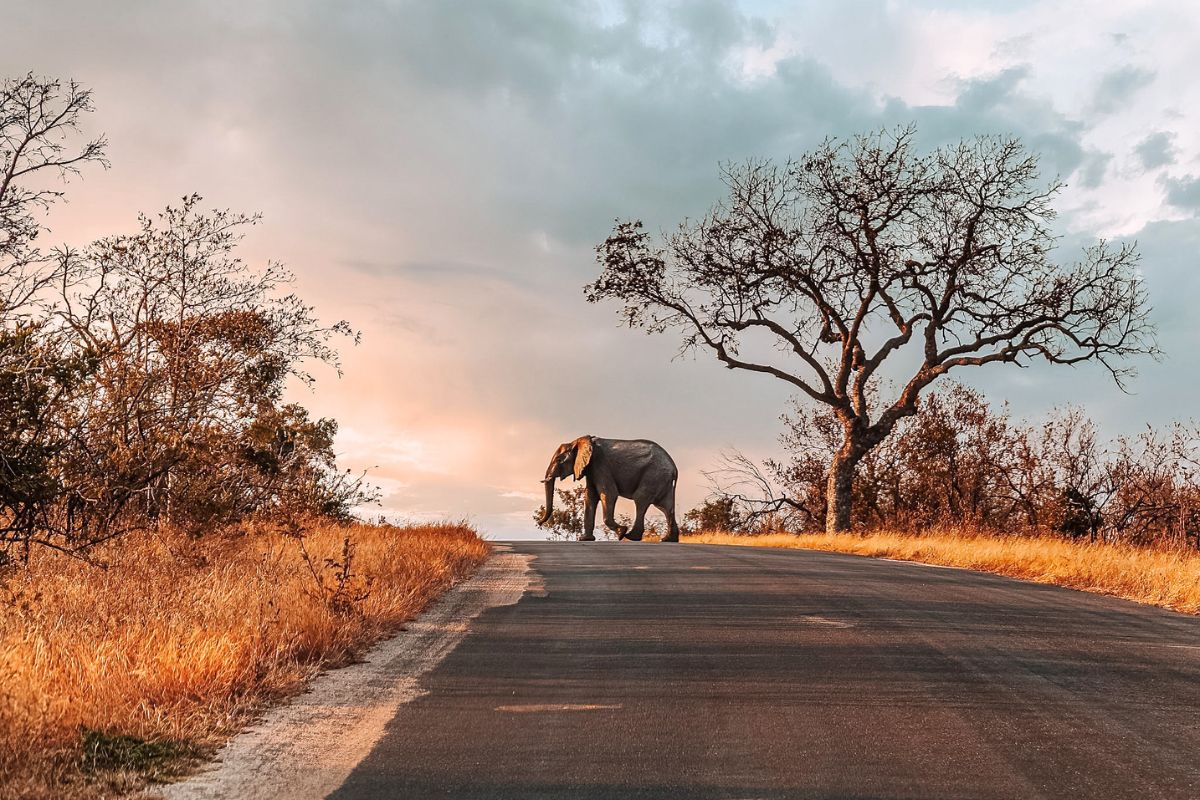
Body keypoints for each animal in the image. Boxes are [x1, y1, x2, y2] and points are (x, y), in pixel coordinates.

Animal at [538, 435, 680, 542]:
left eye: (559, 460)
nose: (539, 523)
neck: (578, 441)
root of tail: (674, 468)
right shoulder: (590, 468)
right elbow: (590, 496)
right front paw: (584, 539)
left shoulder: (600, 464)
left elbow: (608, 493)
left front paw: (621, 532)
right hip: (662, 479)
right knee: (665, 507)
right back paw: (668, 540)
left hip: (654, 475)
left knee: (641, 499)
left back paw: (630, 537)